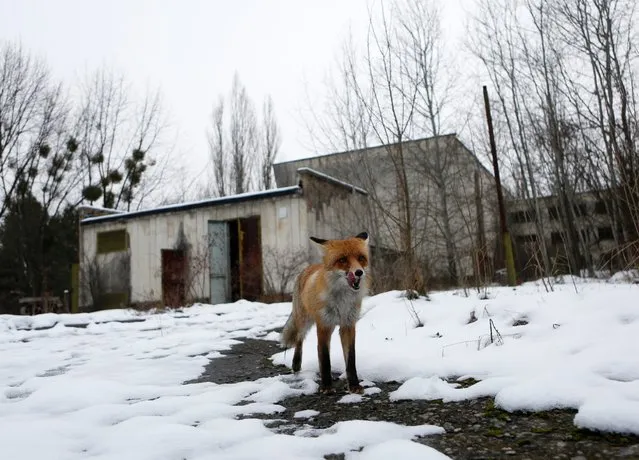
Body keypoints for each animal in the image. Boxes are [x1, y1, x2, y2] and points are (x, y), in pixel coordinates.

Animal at [280, 232, 370, 394]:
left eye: (361, 258)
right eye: (342, 260)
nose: (359, 272)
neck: (341, 302)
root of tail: (309, 267)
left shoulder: (348, 325)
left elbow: (351, 360)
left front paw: (354, 385)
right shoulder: (324, 325)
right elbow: (324, 358)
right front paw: (327, 386)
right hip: (304, 320)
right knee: (299, 340)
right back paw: (296, 364)